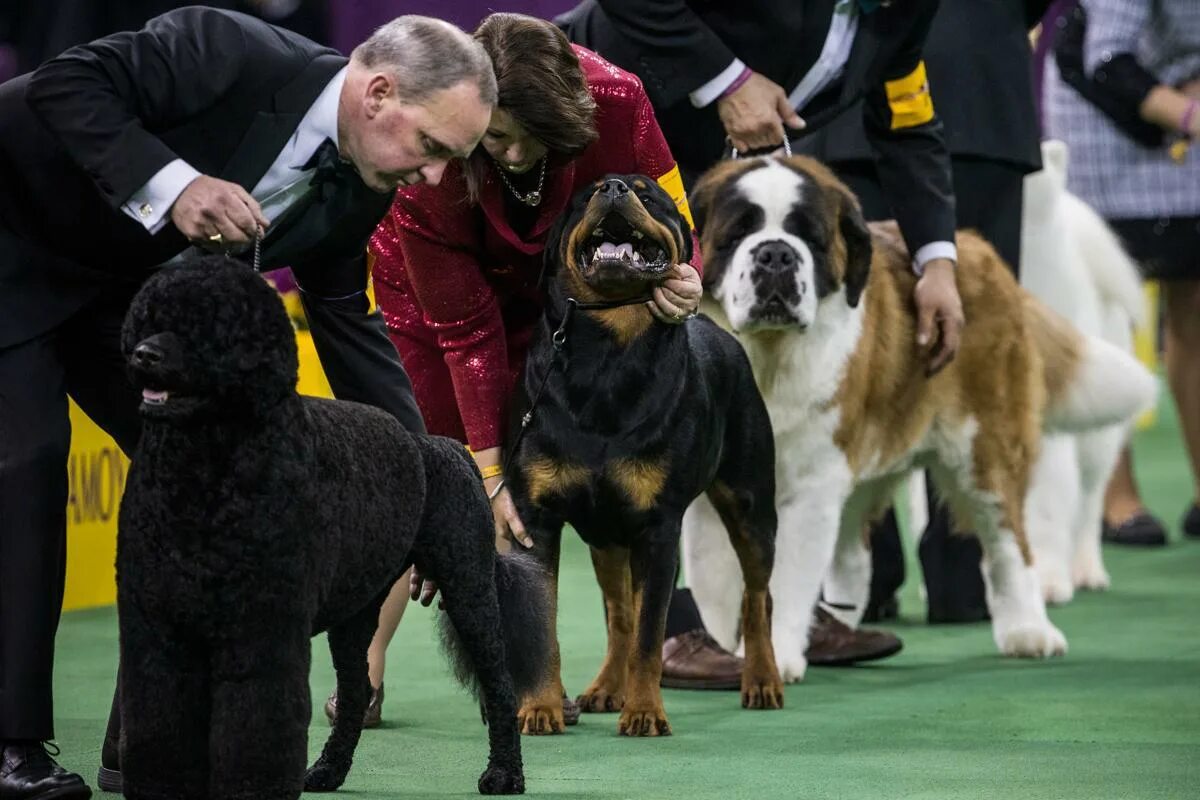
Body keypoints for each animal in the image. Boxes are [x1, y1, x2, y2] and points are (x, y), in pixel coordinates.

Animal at [676, 155, 1152, 681]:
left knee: (1009, 543)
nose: (776, 255)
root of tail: (975, 249)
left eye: (811, 238)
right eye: (737, 233)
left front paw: (772, 658)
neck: (767, 357)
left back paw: (1029, 631)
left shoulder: (809, 486)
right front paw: (720, 652)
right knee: (855, 556)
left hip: (984, 449)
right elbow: (713, 577)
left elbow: (780, 581)